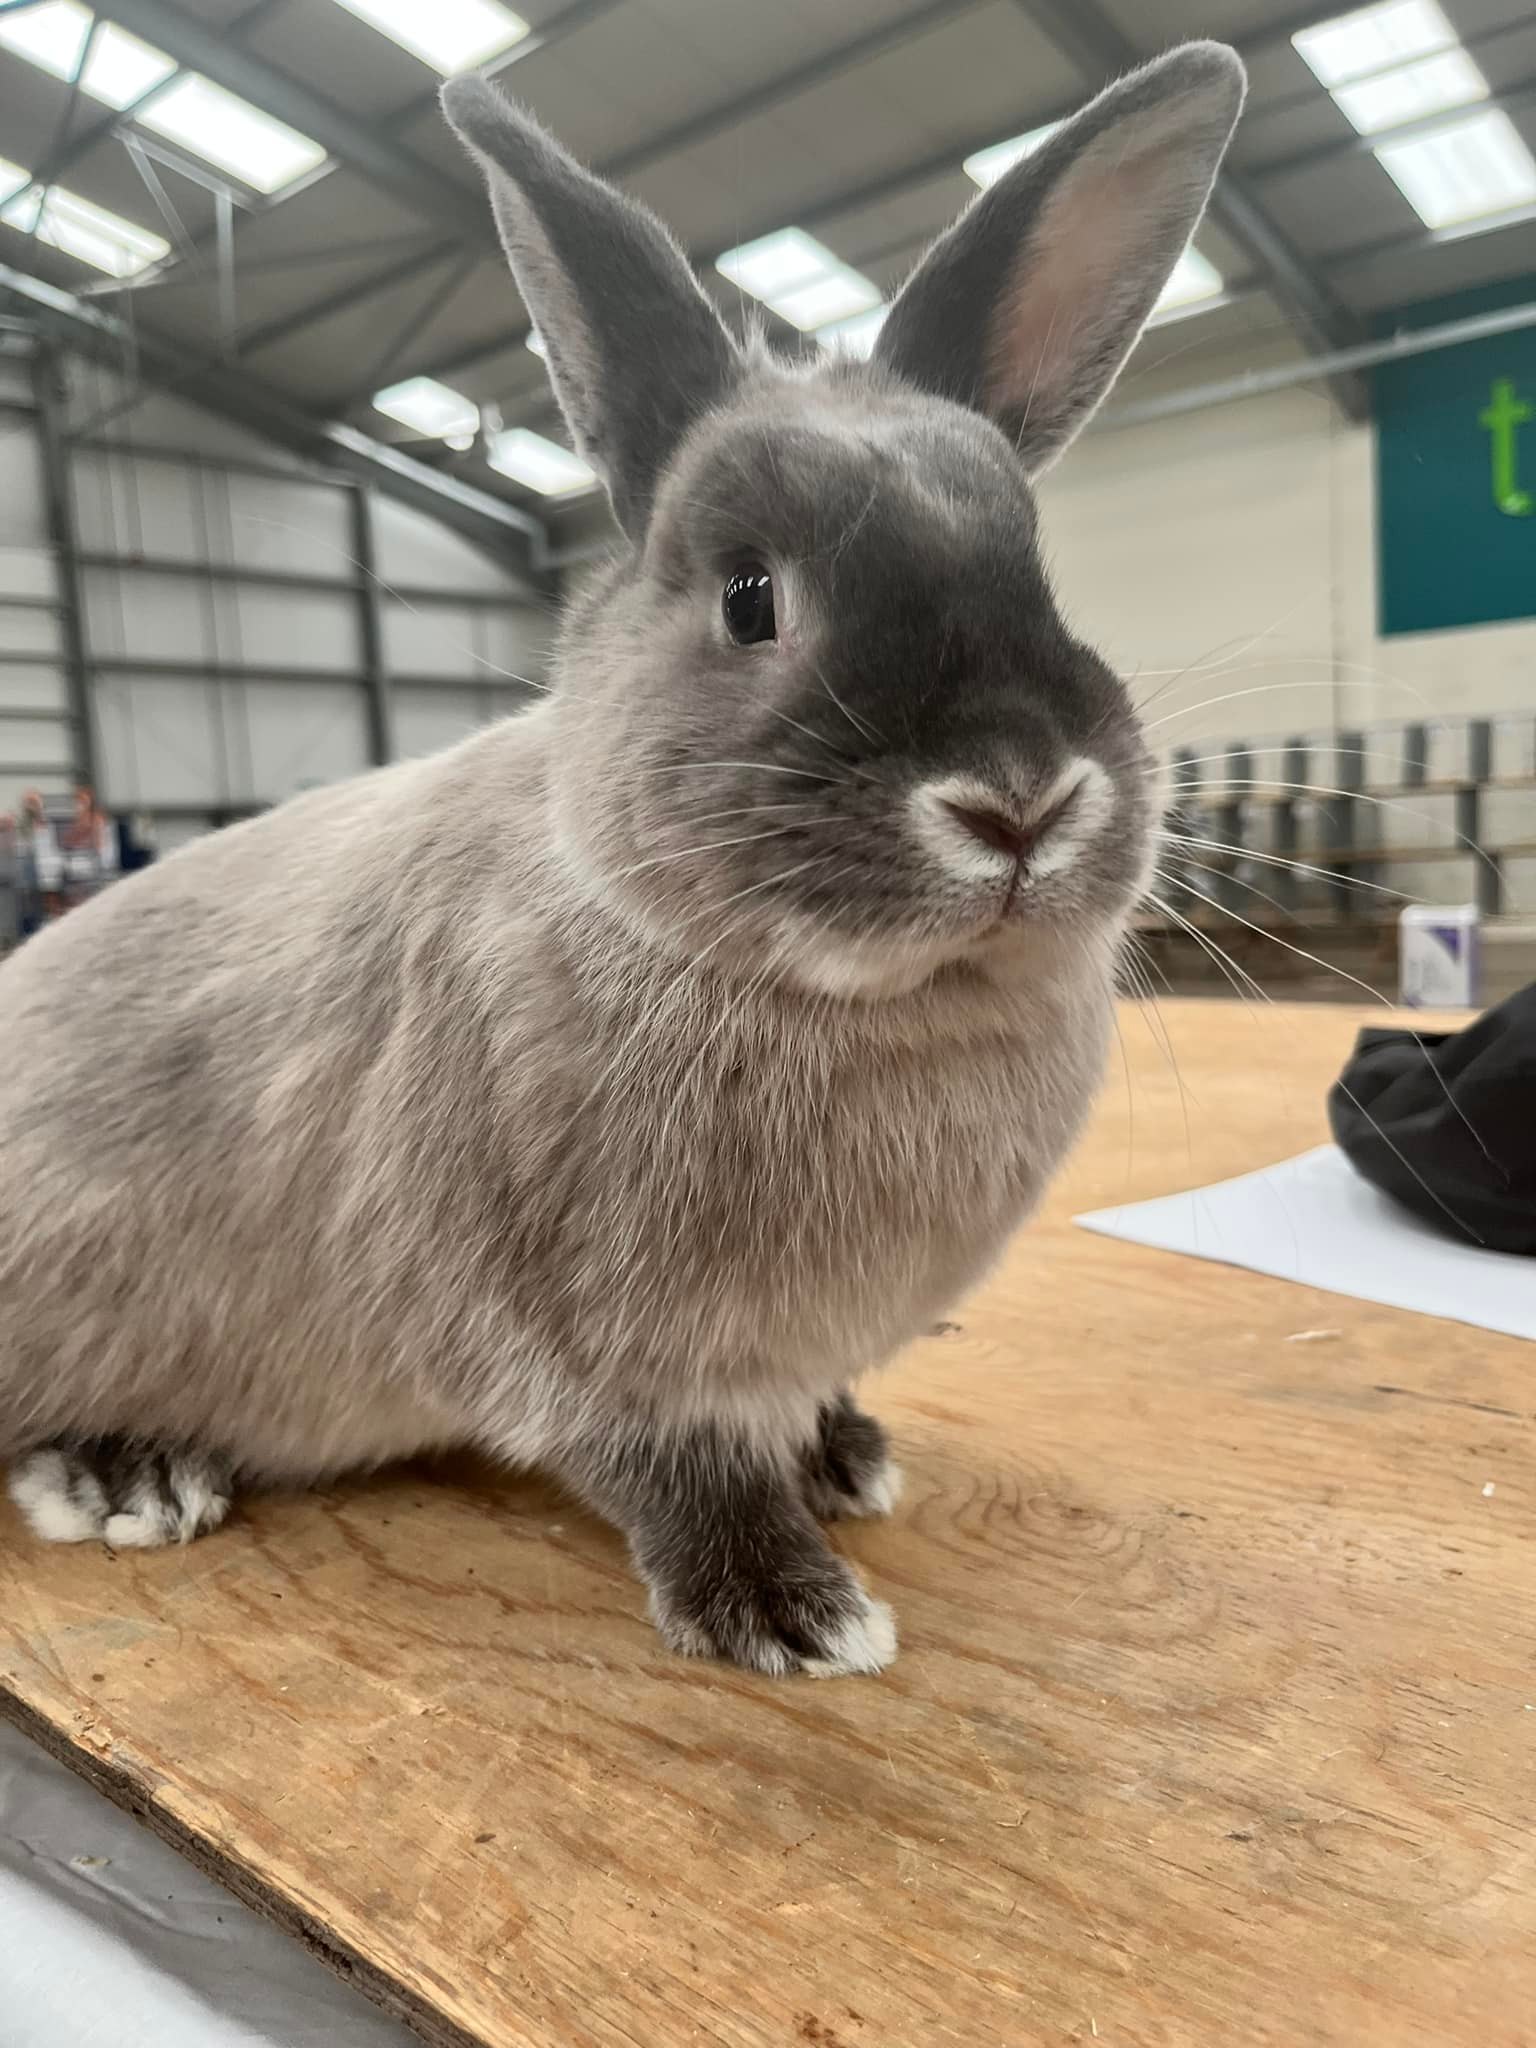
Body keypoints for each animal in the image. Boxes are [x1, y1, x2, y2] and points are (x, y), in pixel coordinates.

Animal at [0, 44, 1244, 1676]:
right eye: (749, 596)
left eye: (1040, 569)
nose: (1022, 800)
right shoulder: (564, 1344)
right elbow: (668, 1467)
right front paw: (792, 1611)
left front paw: (848, 1456)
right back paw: (126, 1473)